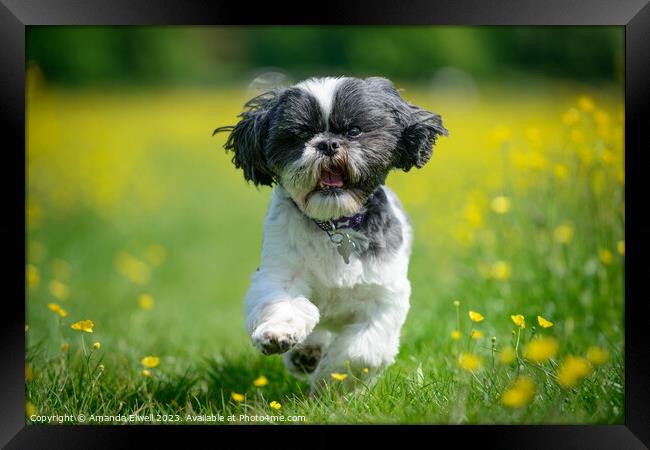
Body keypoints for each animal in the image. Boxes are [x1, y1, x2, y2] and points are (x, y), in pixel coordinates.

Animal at [213, 76, 446, 386]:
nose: (328, 144)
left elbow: (361, 352)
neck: (335, 224)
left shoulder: (384, 297)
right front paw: (278, 334)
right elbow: (284, 304)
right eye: (301, 134)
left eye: (354, 130)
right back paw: (305, 353)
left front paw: (329, 379)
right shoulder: (280, 272)